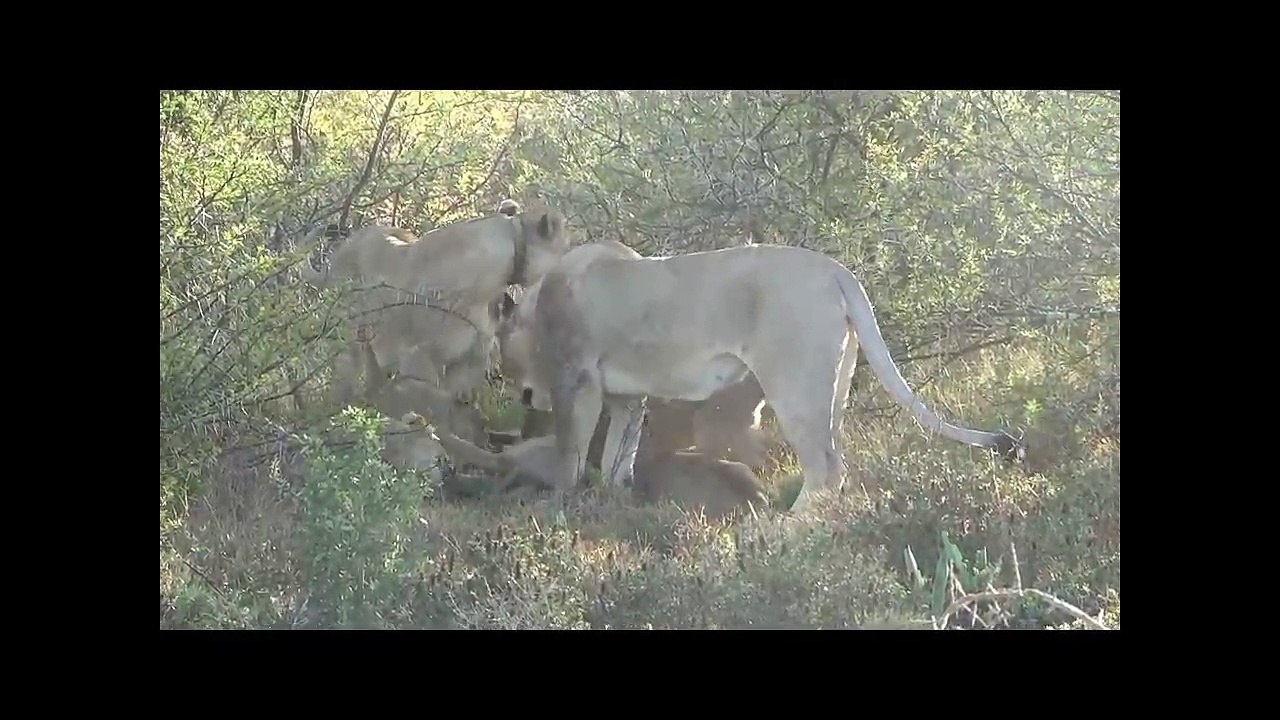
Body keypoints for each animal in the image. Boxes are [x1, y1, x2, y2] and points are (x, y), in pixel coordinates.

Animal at [501, 240, 1024, 513]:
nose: (524, 398)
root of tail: (836, 270)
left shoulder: (577, 378)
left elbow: (570, 451)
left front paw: (559, 506)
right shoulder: (628, 397)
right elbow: (616, 456)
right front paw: (616, 501)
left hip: (794, 382)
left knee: (826, 469)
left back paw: (782, 537)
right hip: (833, 385)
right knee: (835, 464)